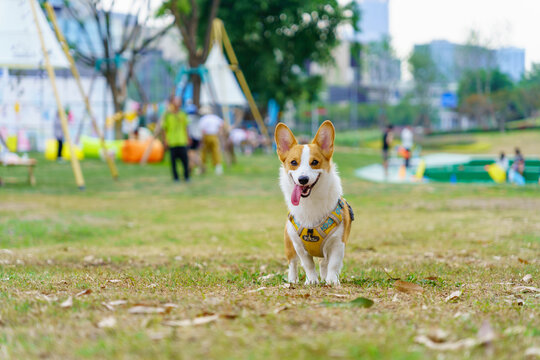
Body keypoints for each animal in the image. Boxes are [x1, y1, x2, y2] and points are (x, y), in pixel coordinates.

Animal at [274, 122, 354, 286]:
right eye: (293, 162)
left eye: (315, 162)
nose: (303, 179)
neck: (311, 202)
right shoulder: (299, 246)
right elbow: (308, 264)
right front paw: (311, 281)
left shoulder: (338, 243)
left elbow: (334, 264)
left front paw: (332, 281)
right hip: (289, 243)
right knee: (292, 263)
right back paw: (292, 280)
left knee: (324, 263)